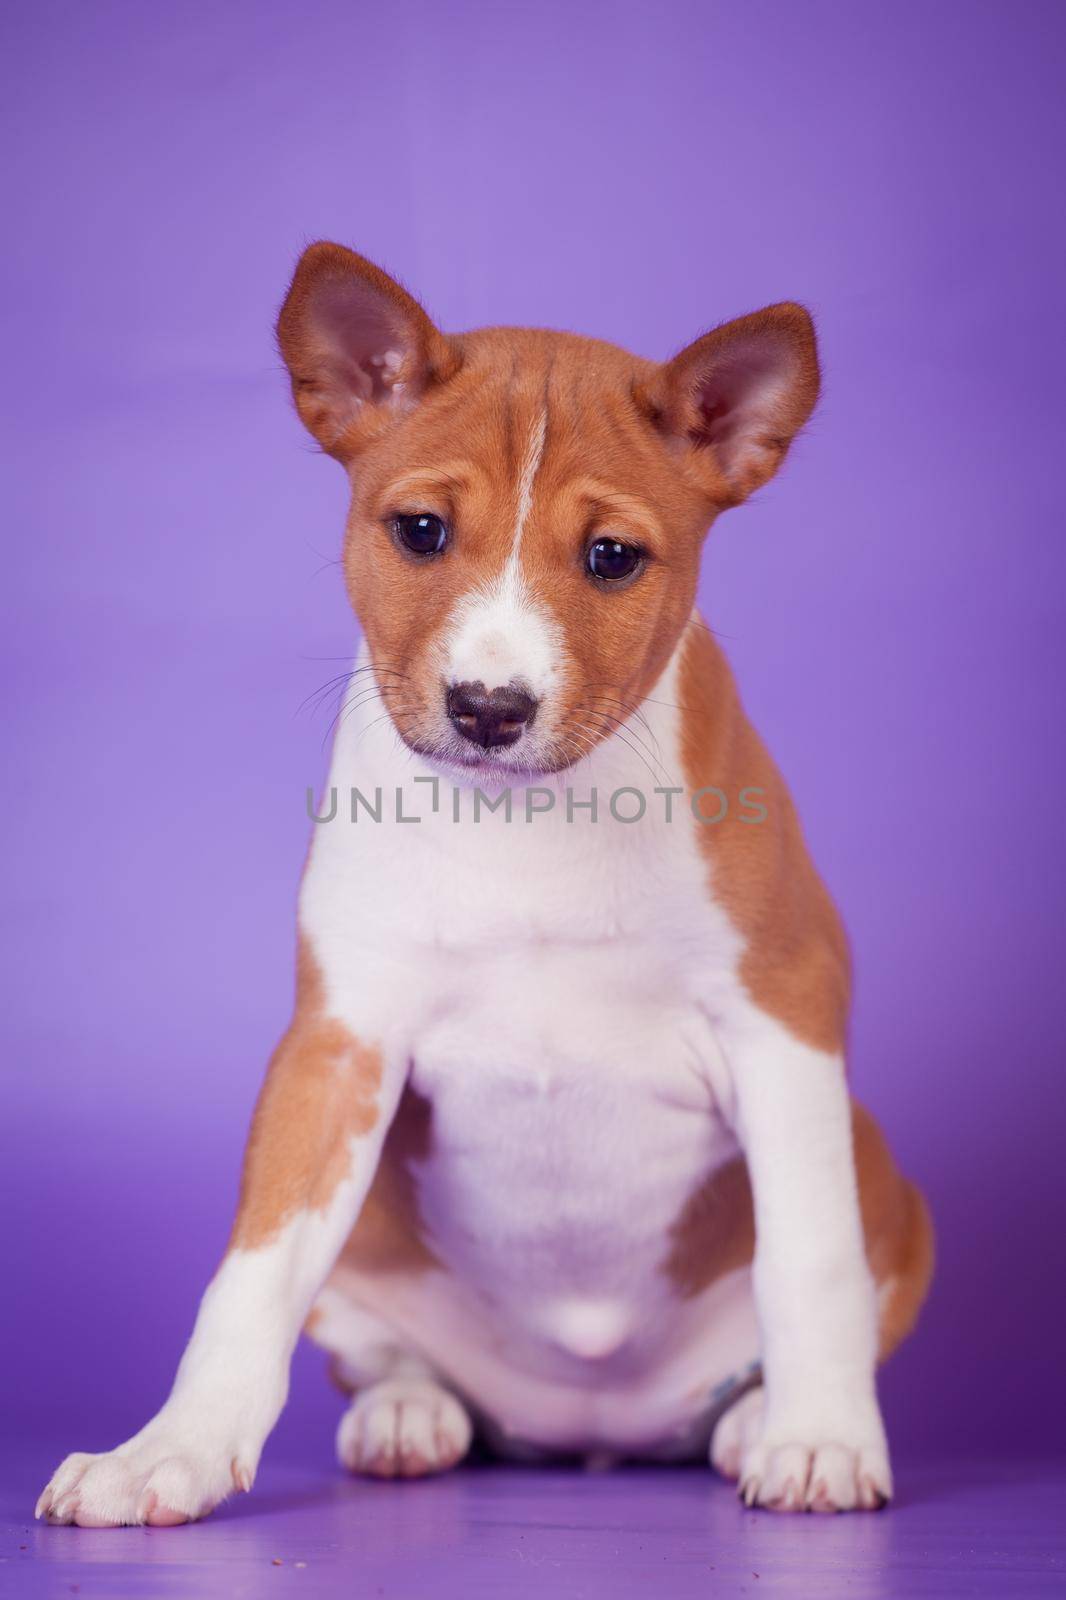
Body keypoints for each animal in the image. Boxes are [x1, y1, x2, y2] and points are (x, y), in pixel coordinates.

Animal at [35, 246, 928, 1523]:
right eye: (419, 530)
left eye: (611, 557)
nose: (489, 708)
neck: (524, 826)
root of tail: (587, 1429)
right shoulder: (335, 1047)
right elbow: (249, 1279)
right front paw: (171, 1452)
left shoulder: (783, 1018)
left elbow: (808, 1261)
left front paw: (819, 1440)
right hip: (367, 1238)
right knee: (387, 1353)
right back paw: (409, 1414)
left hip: (884, 1179)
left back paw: (756, 1420)